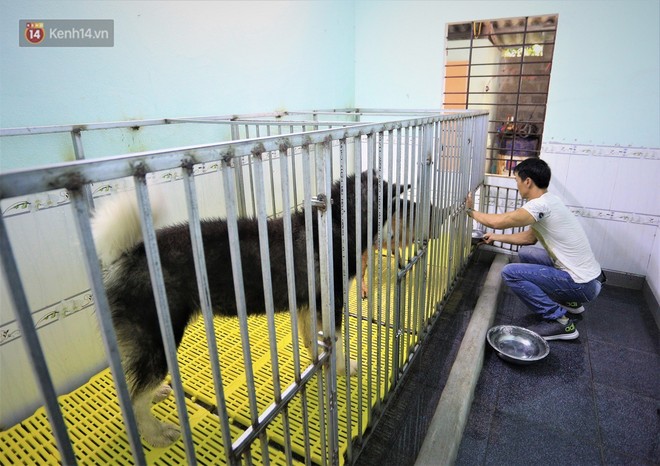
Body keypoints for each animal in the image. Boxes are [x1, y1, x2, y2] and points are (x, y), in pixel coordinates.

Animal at [93, 169, 402, 446]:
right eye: (393, 209)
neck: (336, 222)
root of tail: (130, 254)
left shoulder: (308, 304)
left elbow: (313, 340)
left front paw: (321, 362)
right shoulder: (331, 303)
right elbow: (335, 342)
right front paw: (342, 367)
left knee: (130, 387)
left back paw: (154, 396)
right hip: (159, 342)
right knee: (136, 399)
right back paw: (155, 434)